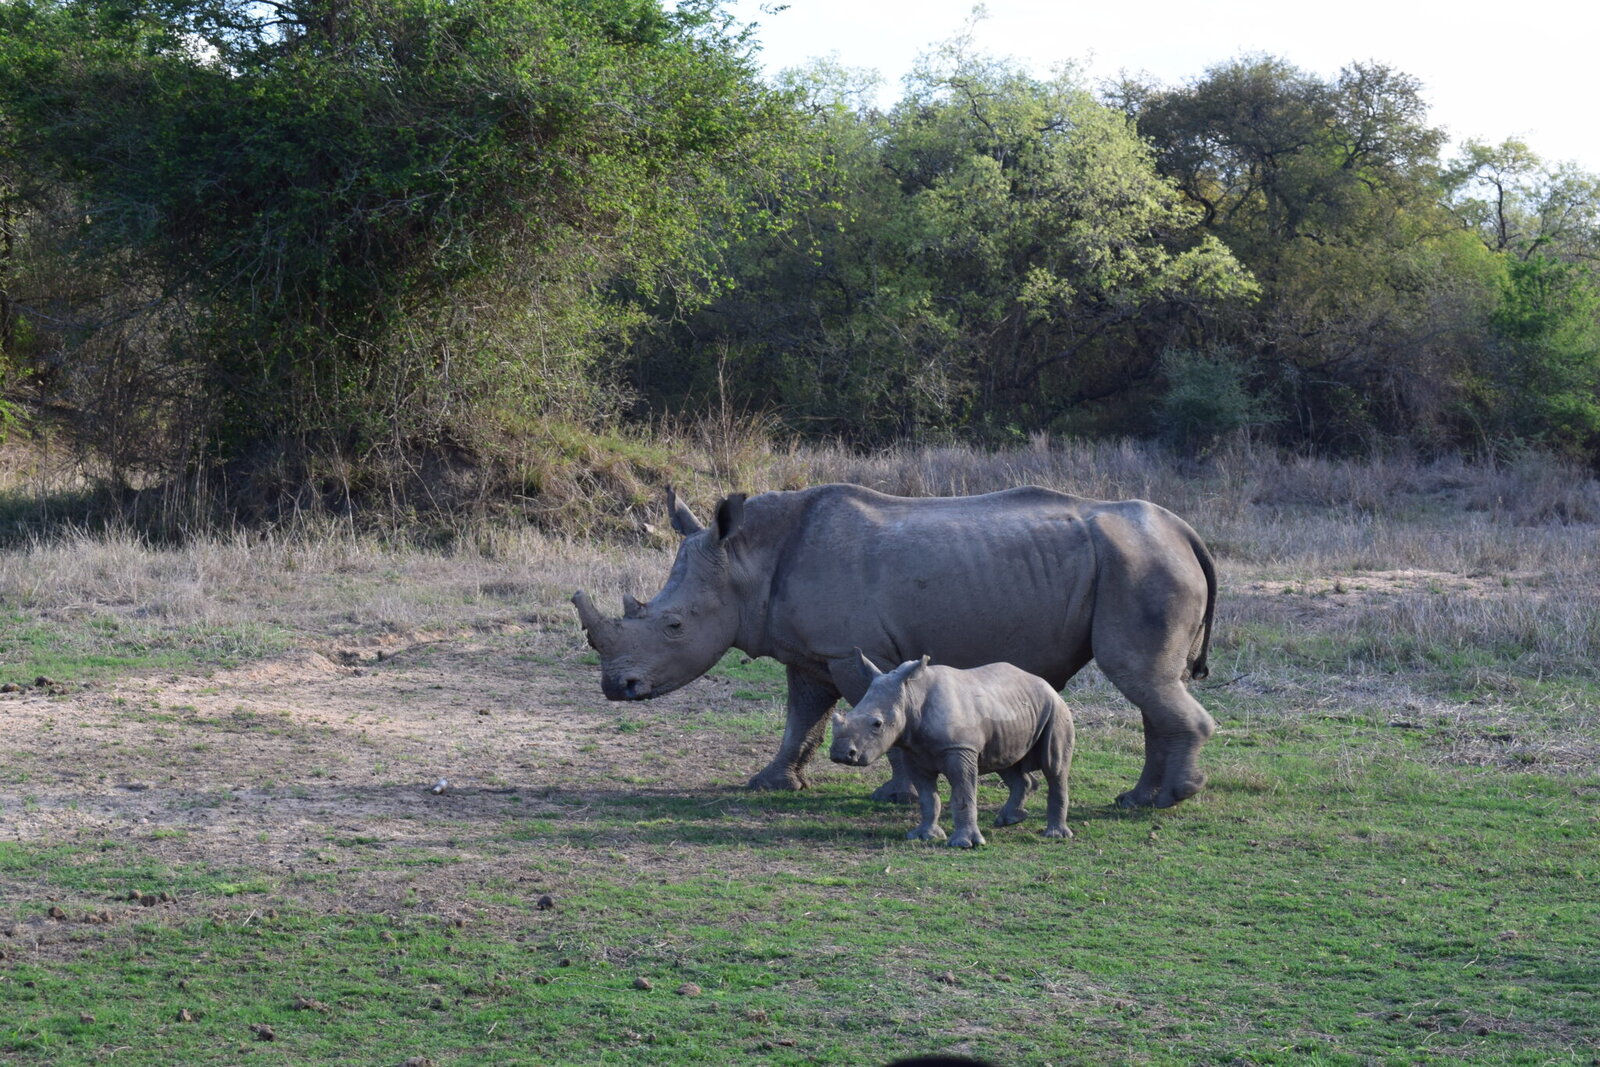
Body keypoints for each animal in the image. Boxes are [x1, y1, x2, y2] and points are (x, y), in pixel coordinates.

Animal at [572, 483, 1216, 808]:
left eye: (674, 626)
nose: (615, 686)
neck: (745, 559)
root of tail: (1186, 531)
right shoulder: (813, 652)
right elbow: (801, 717)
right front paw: (771, 783)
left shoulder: (850, 648)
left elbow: (873, 715)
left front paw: (894, 795)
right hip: (1144, 561)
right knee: (1153, 684)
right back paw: (1138, 799)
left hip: (1143, 566)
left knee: (1138, 675)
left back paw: (1169, 800)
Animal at [831, 651, 1074, 847]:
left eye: (877, 724)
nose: (840, 753)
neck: (911, 695)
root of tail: (1046, 684)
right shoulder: (913, 751)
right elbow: (928, 797)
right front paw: (923, 836)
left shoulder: (959, 748)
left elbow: (963, 793)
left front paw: (965, 844)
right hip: (1010, 712)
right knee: (1005, 763)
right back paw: (1009, 820)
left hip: (1055, 708)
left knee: (1054, 767)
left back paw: (1055, 835)